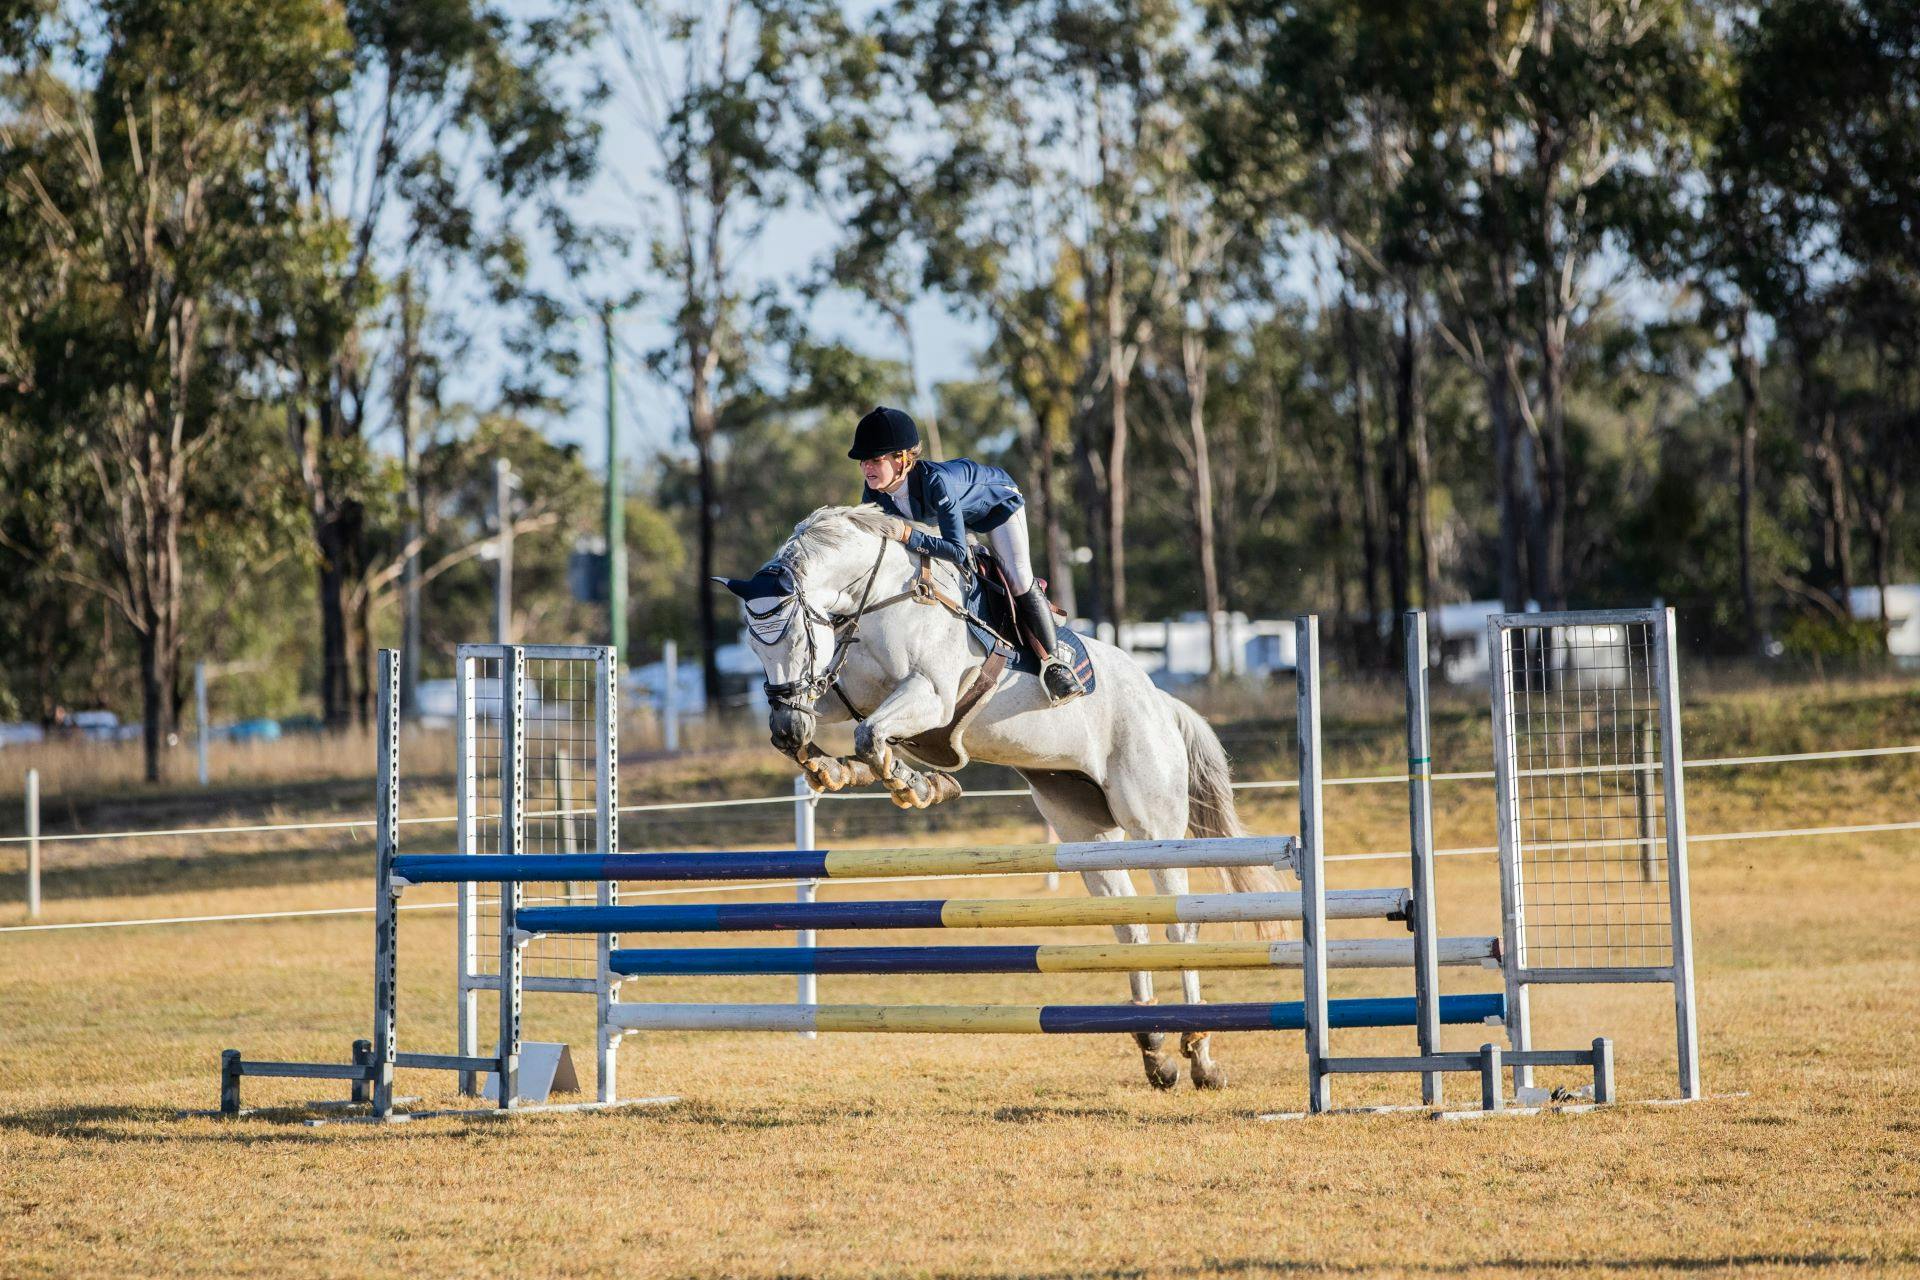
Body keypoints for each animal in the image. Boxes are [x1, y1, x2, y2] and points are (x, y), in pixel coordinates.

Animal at [718, 504, 1288, 1090]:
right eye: (755, 645)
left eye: (798, 638)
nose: (787, 724)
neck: (877, 599)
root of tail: (1162, 703)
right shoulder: (847, 691)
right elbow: (848, 728)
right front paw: (828, 766)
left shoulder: (931, 695)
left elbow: (871, 735)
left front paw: (915, 784)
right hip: (1084, 829)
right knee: (1129, 925)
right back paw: (1155, 1051)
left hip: (1151, 824)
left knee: (1178, 922)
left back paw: (1200, 1053)